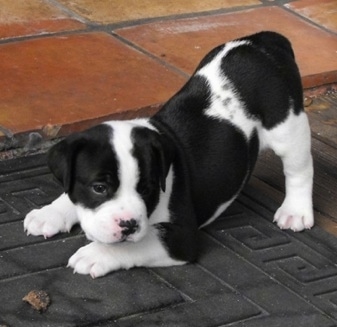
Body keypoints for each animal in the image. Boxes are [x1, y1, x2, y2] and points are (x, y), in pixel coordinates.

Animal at [23, 32, 312, 280]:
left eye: (147, 188)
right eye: (99, 188)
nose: (128, 224)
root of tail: (264, 40)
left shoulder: (180, 237)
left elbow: (137, 243)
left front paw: (96, 254)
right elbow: (69, 193)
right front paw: (50, 213)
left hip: (287, 126)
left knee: (299, 170)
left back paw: (295, 211)